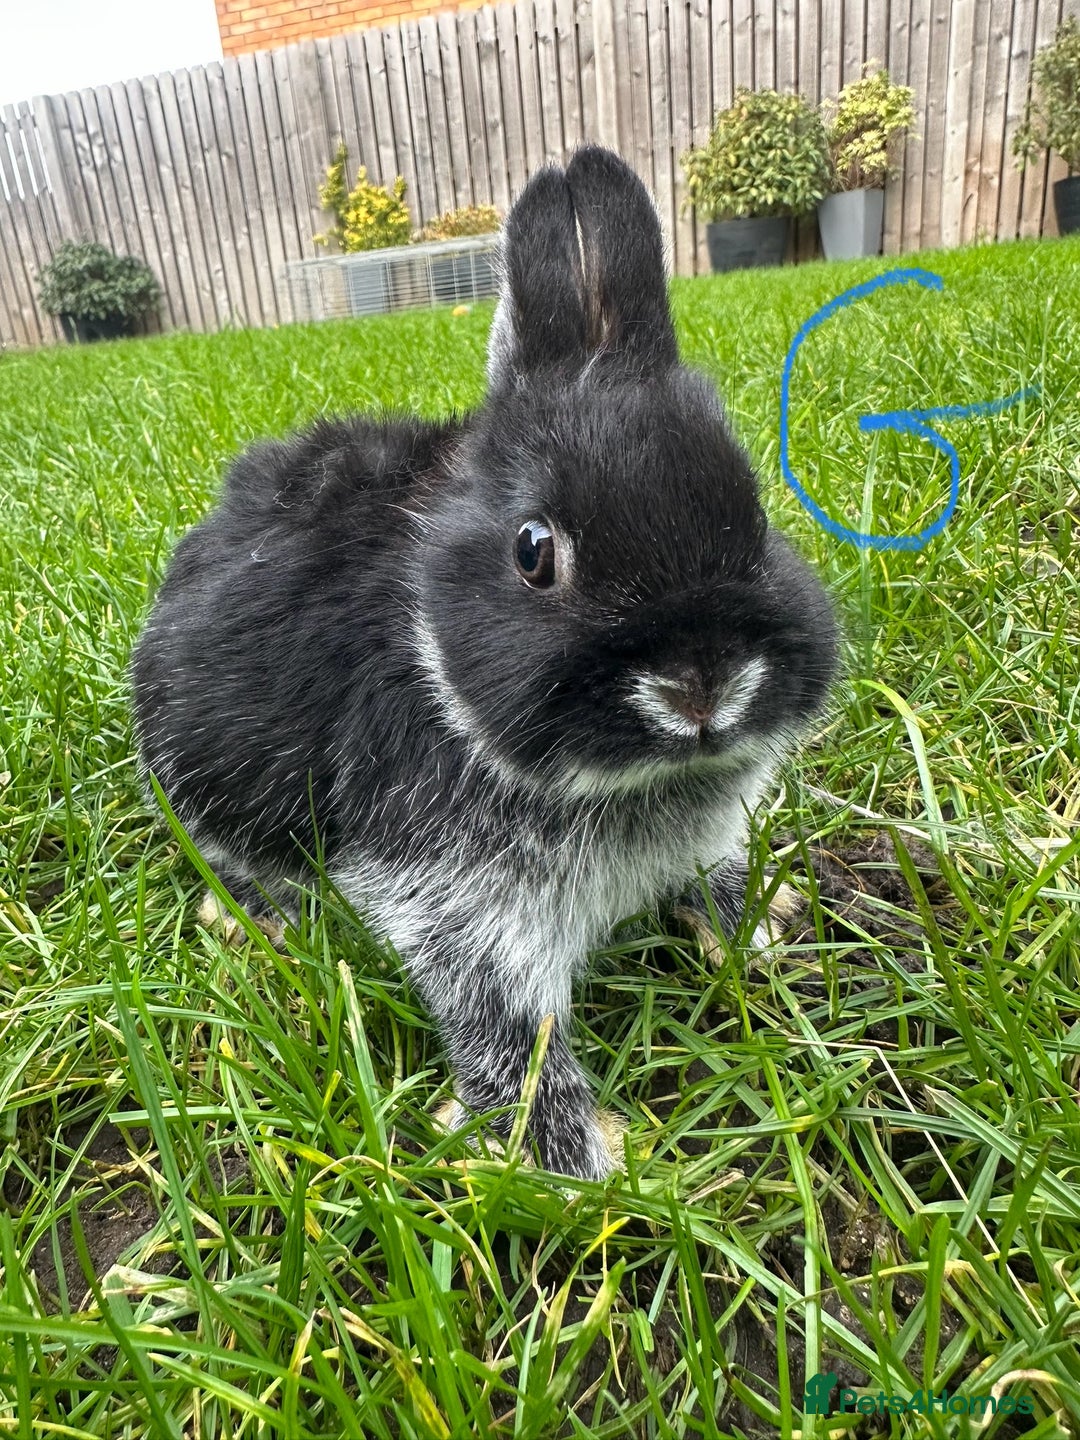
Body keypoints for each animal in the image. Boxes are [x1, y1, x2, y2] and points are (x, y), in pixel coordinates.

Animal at [131, 145, 838, 1182]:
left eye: (755, 515)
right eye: (533, 551)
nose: (700, 686)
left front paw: (757, 923)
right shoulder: (456, 906)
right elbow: (508, 1025)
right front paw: (566, 1160)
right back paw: (263, 916)